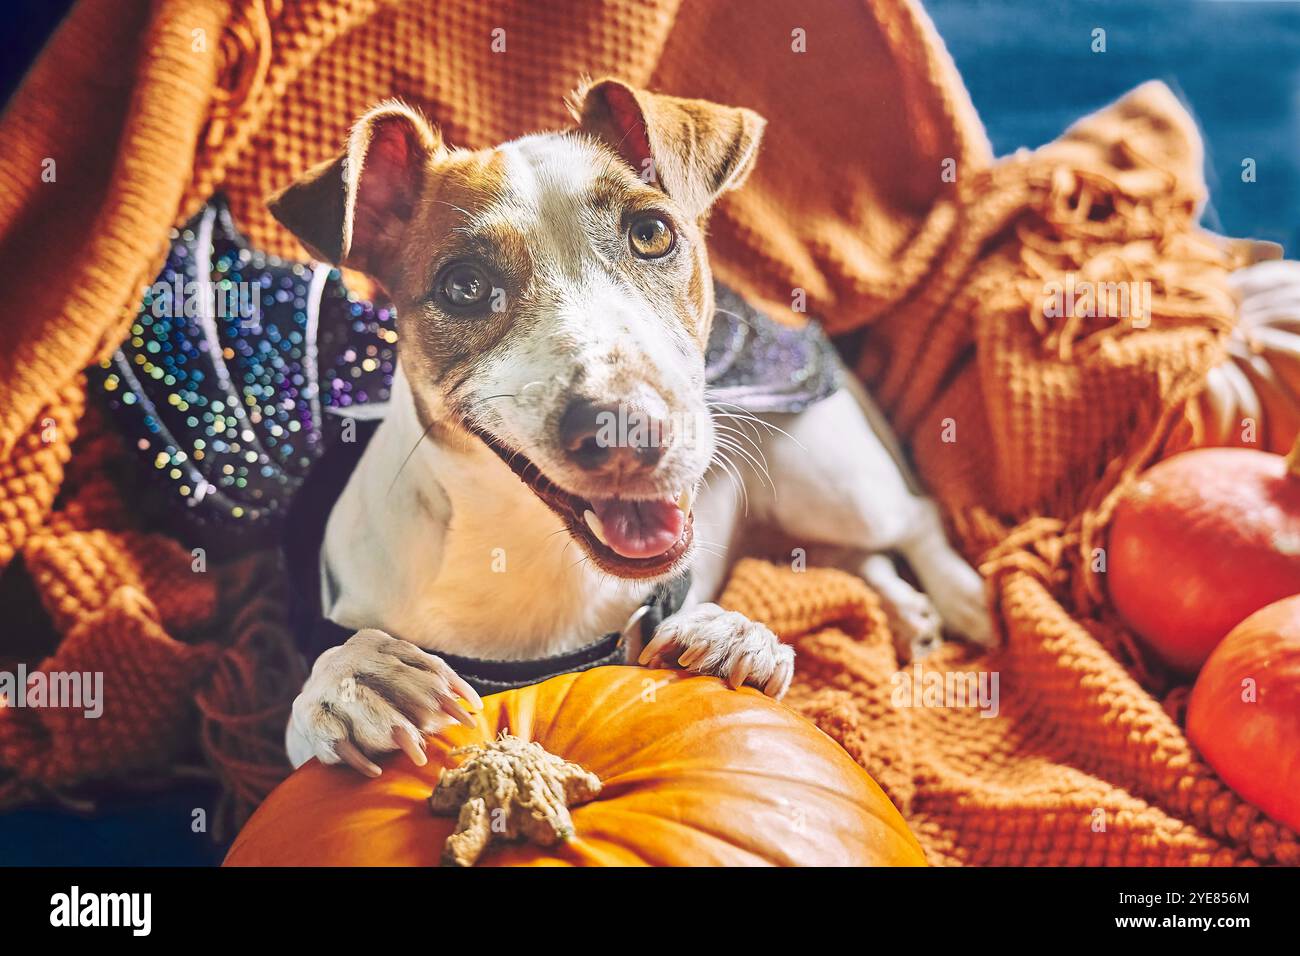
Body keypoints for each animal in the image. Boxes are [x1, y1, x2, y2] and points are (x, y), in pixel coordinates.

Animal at [269, 76, 987, 780]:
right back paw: (906, 610)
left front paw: (734, 636)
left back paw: (962, 599)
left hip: (827, 482)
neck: (533, 560)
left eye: (651, 235)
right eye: (463, 285)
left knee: (913, 518)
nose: (624, 429)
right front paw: (349, 681)